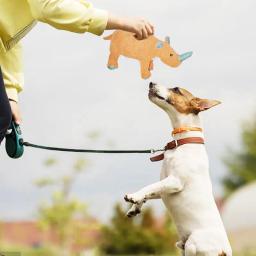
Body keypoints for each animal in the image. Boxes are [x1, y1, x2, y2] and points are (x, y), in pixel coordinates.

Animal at [124, 82, 232, 256]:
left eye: (176, 89)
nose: (151, 82)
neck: (181, 142)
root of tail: (224, 252)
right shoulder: (164, 187)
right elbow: (151, 191)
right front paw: (135, 207)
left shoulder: (174, 182)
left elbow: (149, 186)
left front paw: (134, 196)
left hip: (193, 244)